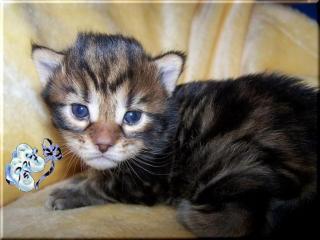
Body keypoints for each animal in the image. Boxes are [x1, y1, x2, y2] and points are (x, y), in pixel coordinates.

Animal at [31, 32, 316, 237]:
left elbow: (104, 185)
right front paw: (80, 179)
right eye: (79, 111)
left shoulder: (146, 181)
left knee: (244, 219)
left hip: (232, 160)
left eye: (132, 117)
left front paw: (69, 194)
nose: (103, 144)